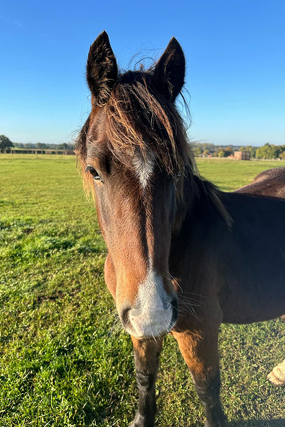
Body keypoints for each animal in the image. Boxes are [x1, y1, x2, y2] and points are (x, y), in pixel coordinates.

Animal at [76, 31, 285, 427]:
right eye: (94, 170)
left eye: (176, 171)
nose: (153, 311)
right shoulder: (138, 327)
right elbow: (144, 377)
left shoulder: (199, 330)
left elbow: (208, 392)